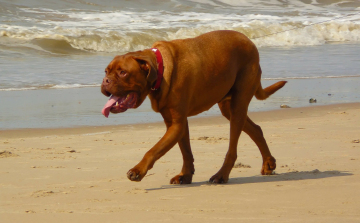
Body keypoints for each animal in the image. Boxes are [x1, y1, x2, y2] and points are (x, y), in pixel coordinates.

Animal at [100, 30, 286, 183]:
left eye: (123, 72)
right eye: (106, 71)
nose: (105, 81)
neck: (160, 69)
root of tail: (250, 42)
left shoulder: (177, 124)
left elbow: (153, 150)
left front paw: (138, 170)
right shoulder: (176, 123)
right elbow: (186, 151)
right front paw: (186, 175)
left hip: (238, 104)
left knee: (232, 148)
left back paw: (221, 175)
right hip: (228, 107)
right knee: (256, 129)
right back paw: (268, 163)